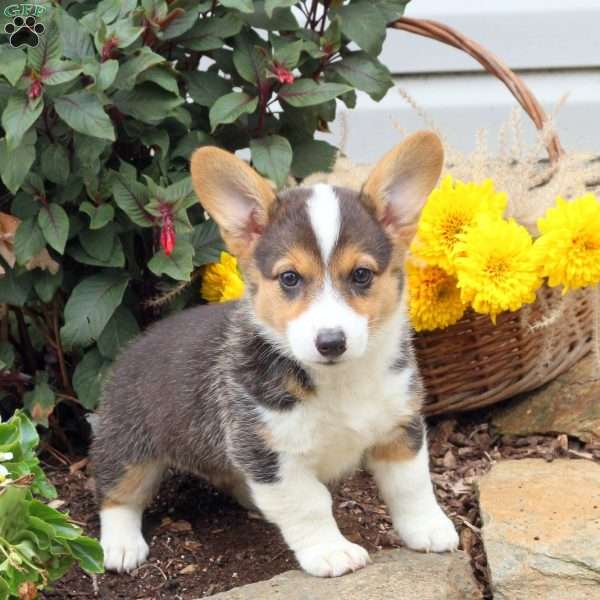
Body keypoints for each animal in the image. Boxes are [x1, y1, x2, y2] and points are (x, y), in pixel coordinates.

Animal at [91, 132, 460, 576]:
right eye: (289, 278)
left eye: (361, 275)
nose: (331, 342)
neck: (339, 380)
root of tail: (134, 346)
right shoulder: (271, 454)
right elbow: (310, 504)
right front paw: (331, 552)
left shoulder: (399, 428)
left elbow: (412, 486)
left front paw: (429, 529)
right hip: (129, 444)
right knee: (117, 493)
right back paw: (121, 546)